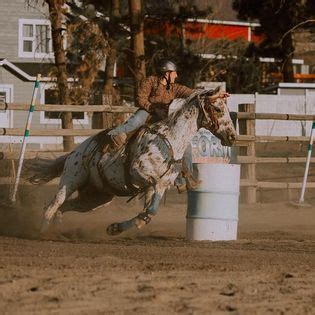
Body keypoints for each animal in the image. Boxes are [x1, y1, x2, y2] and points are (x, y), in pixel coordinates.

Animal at [25, 87, 236, 236]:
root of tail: (74, 152)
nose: (232, 136)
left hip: (96, 198)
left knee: (65, 207)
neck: (168, 140)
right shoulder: (141, 173)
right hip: (71, 179)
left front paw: (115, 228)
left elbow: (149, 212)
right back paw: (42, 232)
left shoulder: (158, 187)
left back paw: (57, 227)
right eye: (218, 108)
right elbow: (151, 193)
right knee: (53, 204)